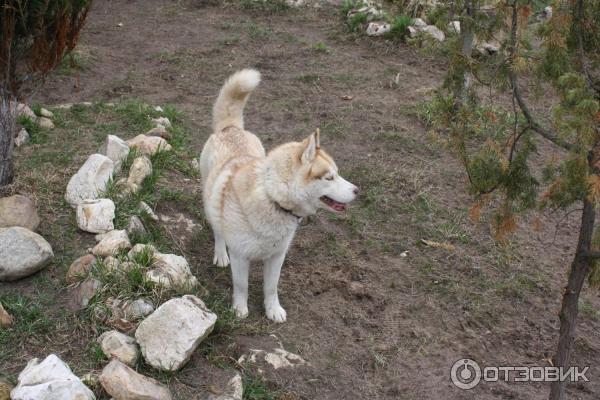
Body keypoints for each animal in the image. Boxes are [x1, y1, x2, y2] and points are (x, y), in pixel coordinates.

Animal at [199, 69, 358, 322]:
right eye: (329, 177)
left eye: (337, 174)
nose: (357, 190)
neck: (272, 200)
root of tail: (230, 128)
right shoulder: (240, 256)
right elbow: (241, 285)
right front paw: (240, 310)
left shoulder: (277, 256)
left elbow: (271, 287)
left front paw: (273, 310)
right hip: (209, 197)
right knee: (217, 229)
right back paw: (220, 253)